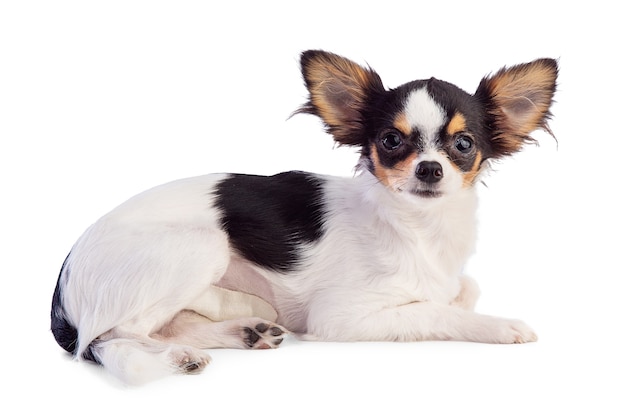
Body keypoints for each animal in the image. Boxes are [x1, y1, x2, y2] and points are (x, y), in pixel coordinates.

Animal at [48, 50, 556, 386]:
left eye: (463, 144)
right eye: (391, 141)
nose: (429, 169)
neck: (418, 228)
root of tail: (67, 274)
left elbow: (464, 288)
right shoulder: (339, 318)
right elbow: (435, 310)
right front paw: (499, 326)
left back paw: (244, 327)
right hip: (200, 247)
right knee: (115, 336)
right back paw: (185, 349)